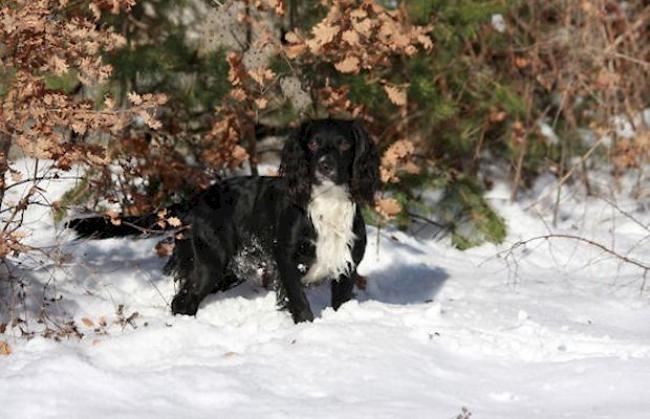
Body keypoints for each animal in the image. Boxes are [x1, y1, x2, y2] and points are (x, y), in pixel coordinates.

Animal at [68, 120, 378, 324]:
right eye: (313, 144)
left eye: (344, 143)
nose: (326, 165)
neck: (327, 201)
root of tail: (194, 200)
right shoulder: (287, 261)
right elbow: (300, 305)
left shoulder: (347, 266)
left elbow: (340, 302)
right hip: (210, 262)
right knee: (184, 300)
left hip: (228, 269)